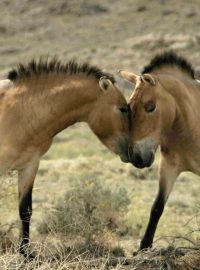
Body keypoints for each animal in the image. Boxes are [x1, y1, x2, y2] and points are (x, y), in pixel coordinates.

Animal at [1, 58, 132, 258]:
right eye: (123, 108)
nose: (134, 153)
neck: (19, 112)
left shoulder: (29, 166)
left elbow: (25, 210)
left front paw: (26, 254)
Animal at [119, 51, 200, 252]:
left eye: (151, 107)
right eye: (128, 107)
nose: (136, 157)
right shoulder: (168, 167)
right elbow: (157, 207)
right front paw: (144, 246)